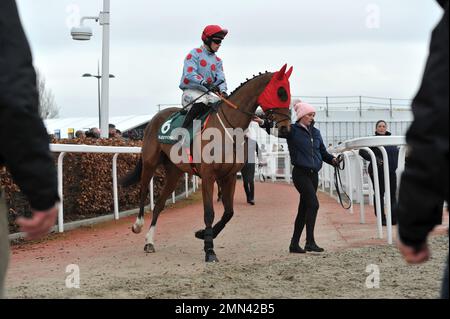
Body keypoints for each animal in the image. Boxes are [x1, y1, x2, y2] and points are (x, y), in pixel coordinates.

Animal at [121, 64, 294, 262]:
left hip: (174, 172)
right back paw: (138, 225)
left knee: (159, 204)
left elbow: (229, 212)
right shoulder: (208, 176)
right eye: (281, 92)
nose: (285, 128)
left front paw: (202, 234)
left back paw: (149, 241)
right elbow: (209, 212)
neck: (228, 129)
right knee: (143, 191)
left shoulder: (229, 176)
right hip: (150, 162)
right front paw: (209, 250)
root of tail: (155, 118)